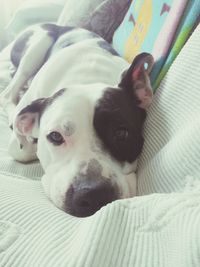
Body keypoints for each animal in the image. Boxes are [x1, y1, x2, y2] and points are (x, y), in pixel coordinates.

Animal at [0, 23, 154, 218]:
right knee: (8, 91)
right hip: (38, 44)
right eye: (55, 136)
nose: (93, 194)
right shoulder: (18, 141)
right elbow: (23, 149)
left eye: (121, 133)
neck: (87, 79)